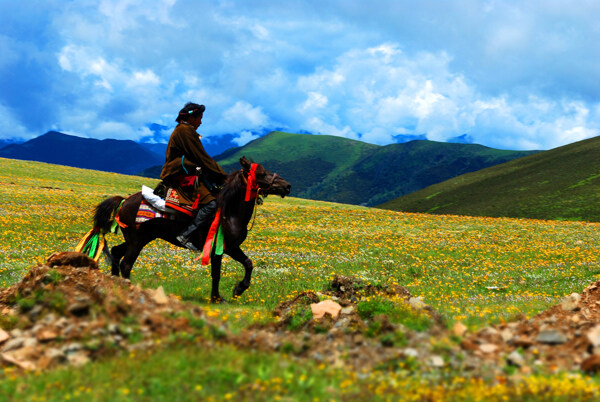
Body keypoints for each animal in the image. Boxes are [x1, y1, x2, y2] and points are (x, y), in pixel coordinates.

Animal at [89, 157, 292, 302]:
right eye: (262, 173)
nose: (287, 186)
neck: (230, 211)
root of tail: (124, 200)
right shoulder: (220, 249)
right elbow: (217, 274)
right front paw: (219, 298)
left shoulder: (231, 248)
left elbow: (248, 264)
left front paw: (237, 290)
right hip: (136, 240)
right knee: (126, 264)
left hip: (140, 238)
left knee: (116, 252)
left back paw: (117, 285)